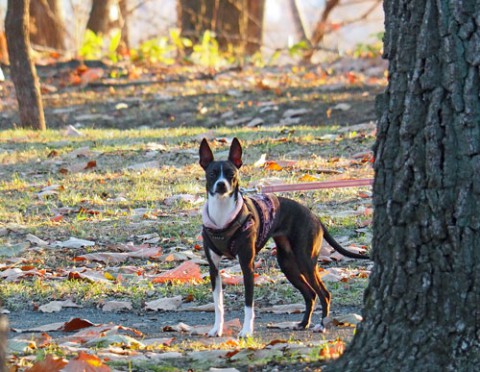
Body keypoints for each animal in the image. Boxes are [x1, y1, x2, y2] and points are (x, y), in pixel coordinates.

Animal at [199, 137, 368, 338]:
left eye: (232, 174)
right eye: (212, 174)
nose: (221, 185)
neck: (222, 216)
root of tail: (315, 217)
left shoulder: (247, 266)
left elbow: (248, 304)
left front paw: (246, 332)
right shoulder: (214, 268)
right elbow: (218, 303)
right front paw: (217, 329)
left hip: (305, 261)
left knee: (323, 293)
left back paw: (321, 325)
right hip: (288, 265)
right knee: (310, 294)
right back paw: (303, 324)